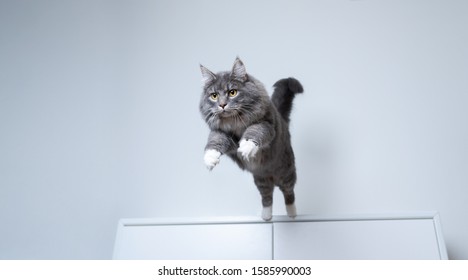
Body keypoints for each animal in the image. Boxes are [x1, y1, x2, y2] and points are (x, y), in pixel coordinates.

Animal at [198, 57, 304, 221]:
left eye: (232, 92)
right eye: (214, 96)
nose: (222, 105)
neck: (234, 122)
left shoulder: (265, 124)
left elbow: (254, 131)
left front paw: (246, 146)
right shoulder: (223, 134)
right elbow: (215, 141)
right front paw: (210, 159)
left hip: (286, 172)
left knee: (288, 193)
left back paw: (292, 213)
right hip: (261, 179)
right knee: (267, 197)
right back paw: (266, 216)